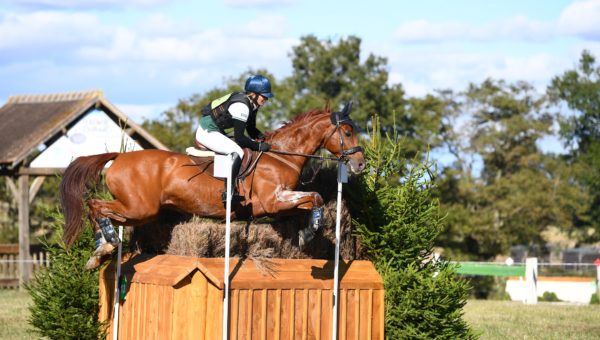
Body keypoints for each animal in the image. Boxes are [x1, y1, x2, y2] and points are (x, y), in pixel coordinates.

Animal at [59, 103, 366, 268]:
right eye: (348, 131)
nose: (360, 164)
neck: (282, 155)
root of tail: (120, 156)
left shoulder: (279, 206)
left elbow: (310, 202)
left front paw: (305, 232)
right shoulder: (272, 201)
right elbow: (315, 197)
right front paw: (309, 233)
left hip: (138, 211)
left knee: (102, 210)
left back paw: (101, 249)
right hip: (139, 208)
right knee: (96, 205)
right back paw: (105, 243)